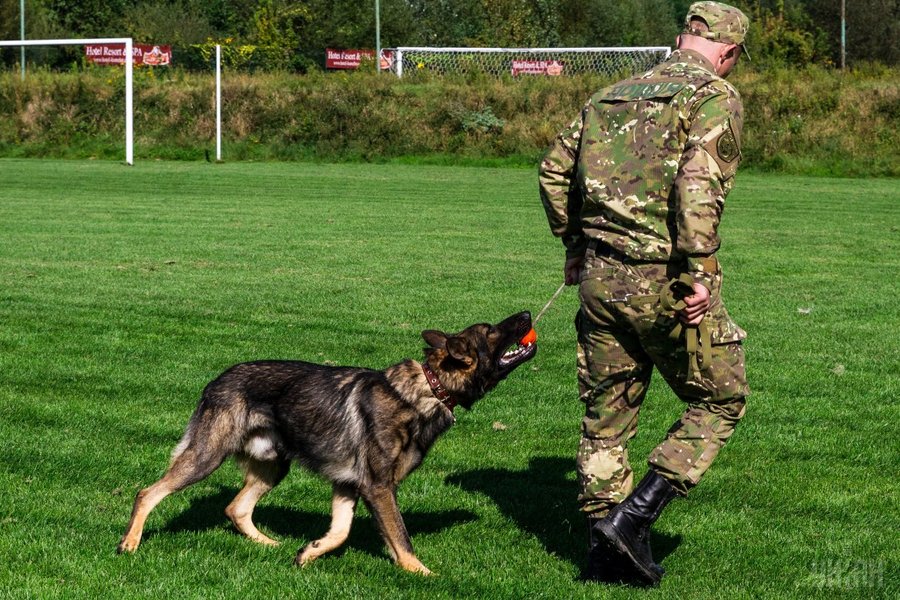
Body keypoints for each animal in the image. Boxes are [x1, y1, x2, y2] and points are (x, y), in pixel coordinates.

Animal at [117, 311, 536, 574]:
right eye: (492, 331)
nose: (529, 313)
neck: (429, 388)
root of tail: (216, 380)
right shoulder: (378, 487)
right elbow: (401, 538)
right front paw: (422, 574)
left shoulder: (348, 485)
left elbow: (340, 532)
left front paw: (309, 553)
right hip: (207, 456)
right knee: (148, 493)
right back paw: (130, 543)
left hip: (273, 466)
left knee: (236, 508)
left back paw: (267, 544)